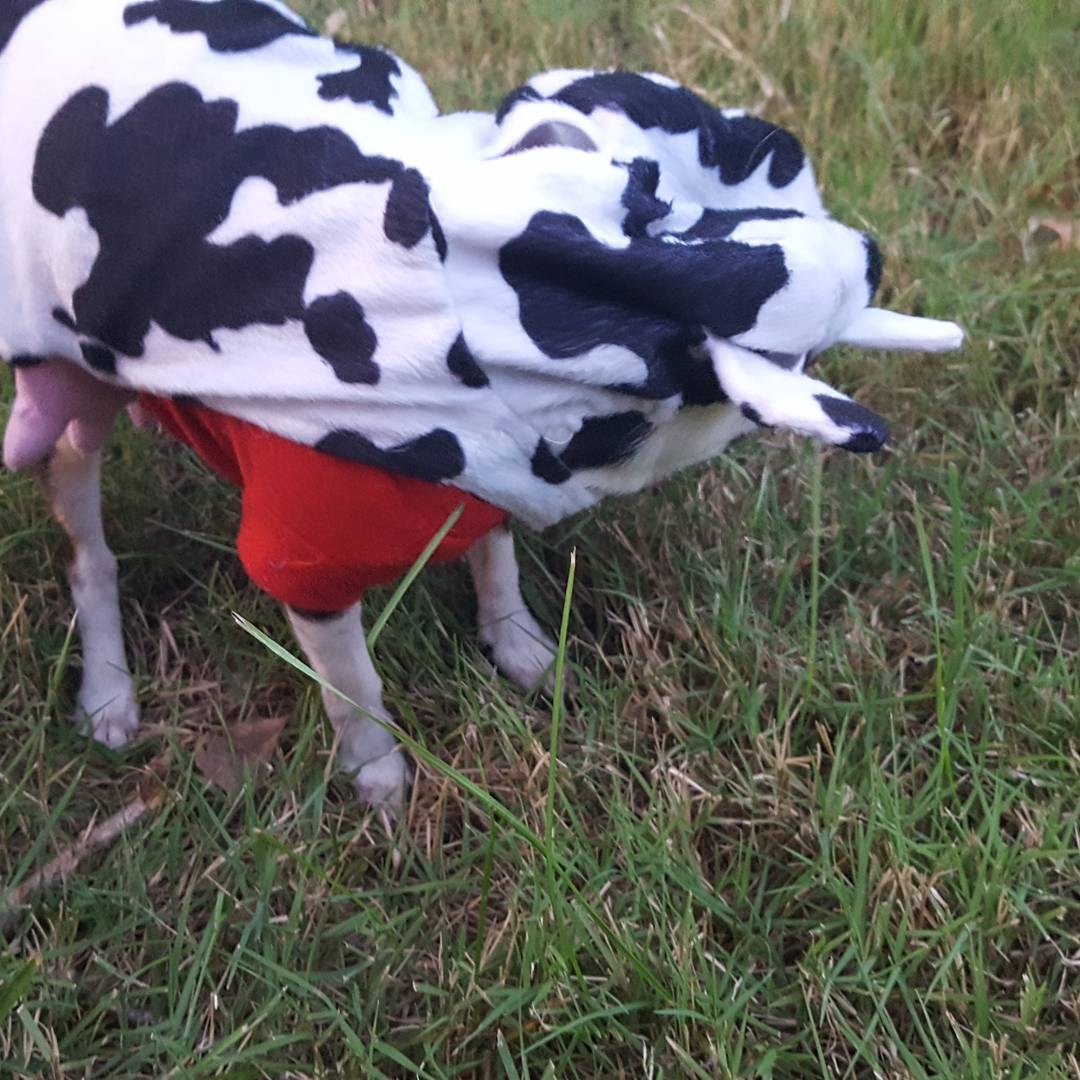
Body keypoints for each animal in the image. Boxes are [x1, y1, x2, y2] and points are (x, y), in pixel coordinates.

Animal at [0, 0, 963, 812]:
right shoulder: (305, 571)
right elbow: (357, 688)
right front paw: (379, 775)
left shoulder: (494, 479)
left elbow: (495, 562)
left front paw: (520, 646)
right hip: (70, 417)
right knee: (89, 558)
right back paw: (109, 690)